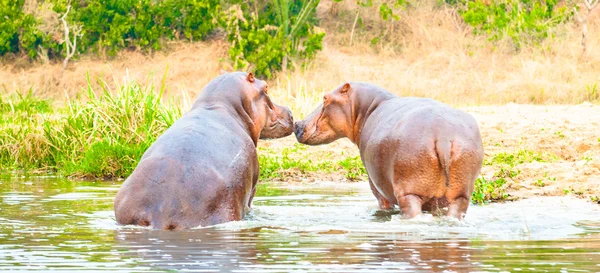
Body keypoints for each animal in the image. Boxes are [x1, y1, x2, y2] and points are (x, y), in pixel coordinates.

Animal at [292, 83, 486, 219]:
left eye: (325, 98)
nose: (297, 124)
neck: (366, 107)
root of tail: (443, 136)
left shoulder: (376, 186)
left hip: (409, 191)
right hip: (461, 193)